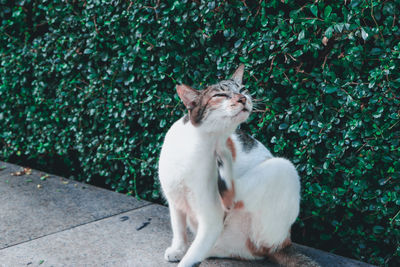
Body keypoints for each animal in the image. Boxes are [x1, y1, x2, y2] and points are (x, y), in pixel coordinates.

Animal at [158, 65, 318, 267]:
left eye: (242, 90)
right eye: (220, 94)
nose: (243, 98)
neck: (199, 145)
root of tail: (284, 243)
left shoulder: (211, 219)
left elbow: (190, 258)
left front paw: (185, 258)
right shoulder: (174, 200)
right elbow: (178, 228)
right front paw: (178, 250)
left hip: (283, 168)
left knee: (232, 197)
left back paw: (224, 161)